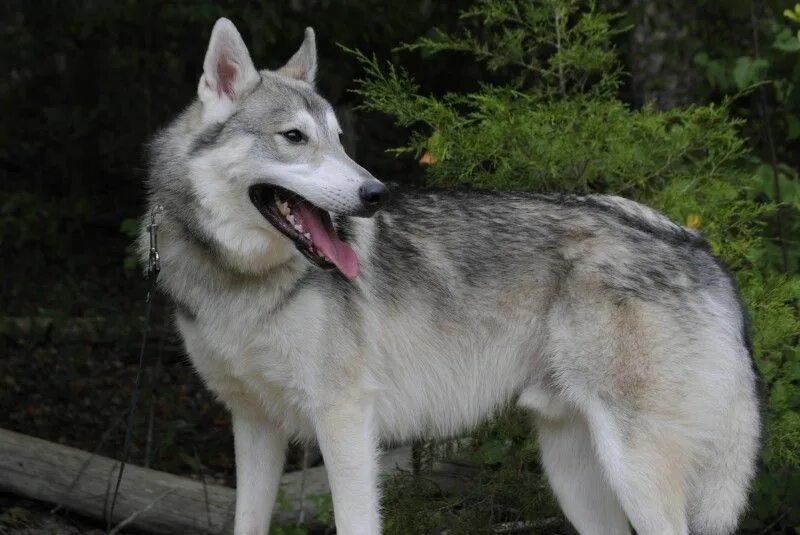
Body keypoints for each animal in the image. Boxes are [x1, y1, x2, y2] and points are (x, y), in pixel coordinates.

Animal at [144, 17, 764, 535]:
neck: (238, 282)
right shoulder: (253, 426)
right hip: (576, 477)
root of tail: (698, 246)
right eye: (294, 137)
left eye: (339, 141)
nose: (375, 194)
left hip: (635, 469)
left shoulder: (345, 422)